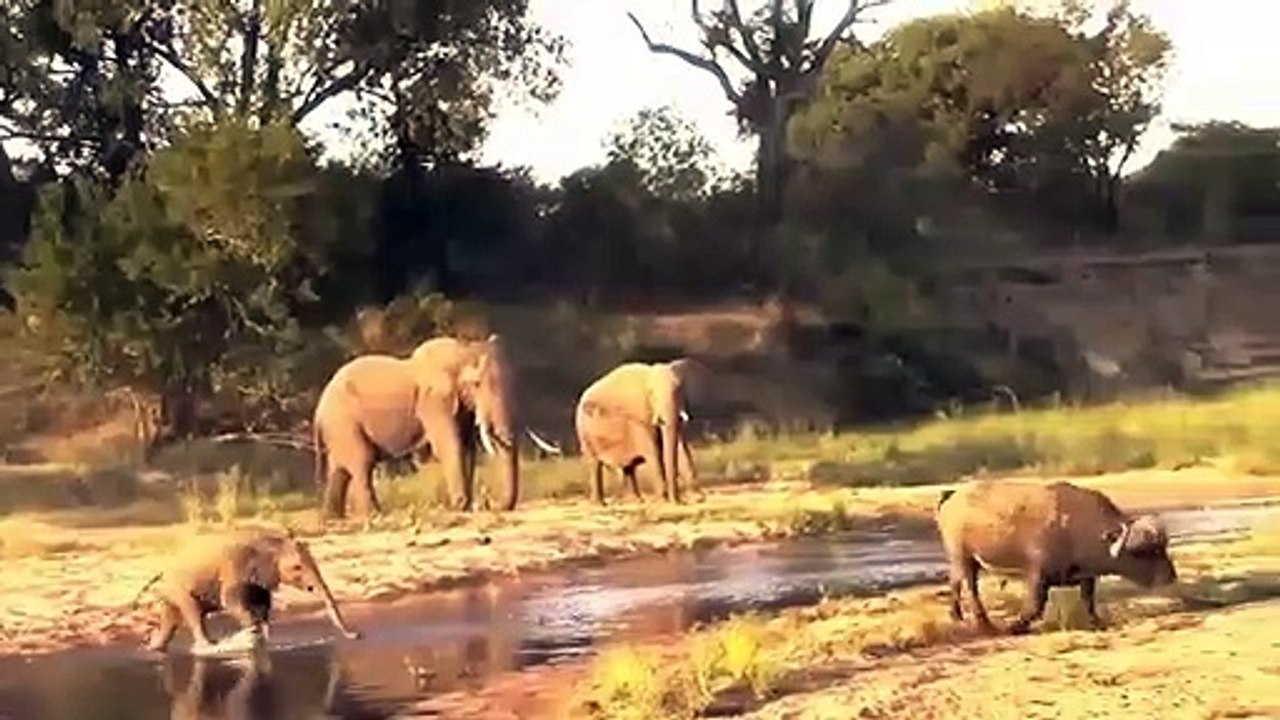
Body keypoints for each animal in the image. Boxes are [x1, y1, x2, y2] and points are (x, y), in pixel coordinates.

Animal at [133, 527, 359, 654]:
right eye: (297, 568)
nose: (357, 636)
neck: (272, 540)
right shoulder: (234, 565)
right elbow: (230, 600)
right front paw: (252, 634)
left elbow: (263, 603)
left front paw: (263, 639)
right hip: (179, 586)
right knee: (192, 612)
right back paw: (209, 648)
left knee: (172, 618)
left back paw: (154, 647)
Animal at [313, 333, 560, 519]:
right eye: (476, 384)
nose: (491, 504)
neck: (461, 350)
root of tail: (318, 411)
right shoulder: (434, 402)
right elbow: (451, 445)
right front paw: (460, 505)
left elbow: (468, 446)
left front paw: (466, 505)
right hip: (343, 422)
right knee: (362, 462)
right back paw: (374, 515)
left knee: (340, 469)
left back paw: (333, 518)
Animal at [575, 359, 700, 504]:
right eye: (651, 394)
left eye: (679, 390)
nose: (677, 500)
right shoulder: (638, 416)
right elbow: (653, 451)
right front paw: (663, 500)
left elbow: (681, 447)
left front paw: (697, 498)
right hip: (584, 433)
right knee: (594, 464)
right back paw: (599, 504)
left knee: (628, 467)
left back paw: (636, 500)